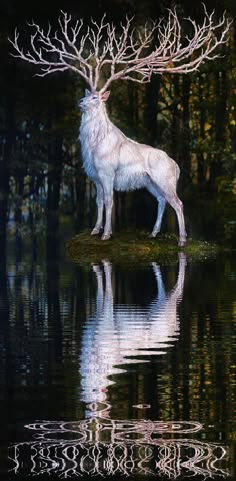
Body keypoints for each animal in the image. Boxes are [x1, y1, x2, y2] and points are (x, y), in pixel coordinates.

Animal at [9, 8, 230, 244]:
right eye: (86, 94)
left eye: (96, 97)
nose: (80, 102)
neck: (93, 146)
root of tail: (176, 166)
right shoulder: (94, 176)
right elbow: (98, 201)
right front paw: (95, 230)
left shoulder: (107, 172)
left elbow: (109, 201)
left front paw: (106, 233)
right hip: (150, 183)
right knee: (162, 201)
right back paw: (153, 232)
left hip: (165, 179)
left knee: (178, 202)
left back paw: (181, 239)